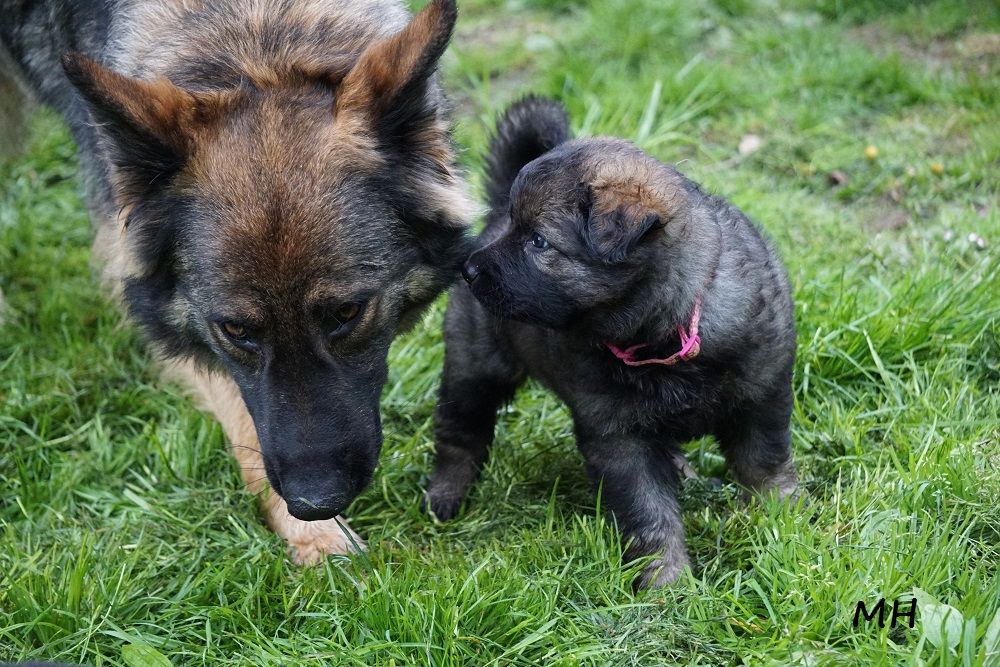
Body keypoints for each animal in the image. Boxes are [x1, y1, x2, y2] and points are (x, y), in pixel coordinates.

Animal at [0, 0, 472, 564]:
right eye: (236, 330)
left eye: (346, 314)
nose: (315, 501)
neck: (255, 40)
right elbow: (244, 419)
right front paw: (318, 539)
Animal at [426, 96, 800, 588]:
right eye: (521, 231)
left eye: (538, 241)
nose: (467, 269)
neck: (668, 329)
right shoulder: (618, 436)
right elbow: (650, 512)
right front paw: (668, 581)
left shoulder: (762, 393)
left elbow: (764, 462)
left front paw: (782, 515)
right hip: (477, 363)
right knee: (459, 429)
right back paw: (446, 493)